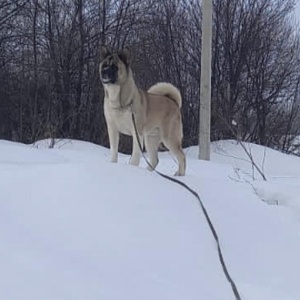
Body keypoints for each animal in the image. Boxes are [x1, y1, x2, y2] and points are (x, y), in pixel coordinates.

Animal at [99, 46, 186, 176]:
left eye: (114, 66)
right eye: (104, 65)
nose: (104, 72)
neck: (118, 100)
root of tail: (173, 102)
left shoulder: (137, 132)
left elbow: (135, 156)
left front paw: (132, 169)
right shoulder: (112, 129)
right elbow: (114, 151)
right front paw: (113, 164)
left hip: (169, 138)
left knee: (181, 156)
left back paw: (180, 174)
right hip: (151, 139)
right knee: (155, 160)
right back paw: (148, 172)